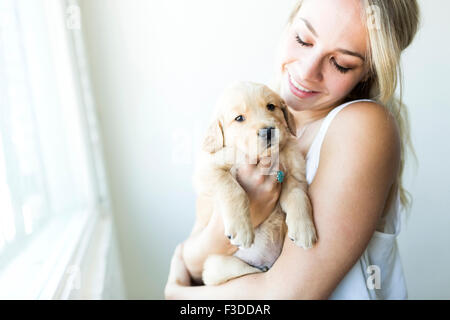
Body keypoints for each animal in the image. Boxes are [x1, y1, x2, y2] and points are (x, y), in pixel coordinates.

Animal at [193, 80, 316, 284]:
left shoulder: (294, 173)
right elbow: (233, 189)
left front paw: (304, 229)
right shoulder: (207, 170)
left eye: (271, 106)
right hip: (215, 267)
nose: (268, 131)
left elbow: (298, 195)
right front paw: (241, 229)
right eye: (239, 118)